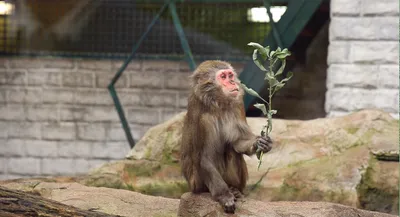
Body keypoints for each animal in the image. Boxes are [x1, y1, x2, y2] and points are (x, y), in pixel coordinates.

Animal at [180, 60, 272, 213]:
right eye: (223, 77)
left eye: (230, 75)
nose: (233, 82)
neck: (217, 104)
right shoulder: (203, 119)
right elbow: (204, 159)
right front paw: (224, 196)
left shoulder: (238, 104)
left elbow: (238, 141)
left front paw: (260, 143)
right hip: (197, 184)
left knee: (231, 149)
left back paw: (235, 190)